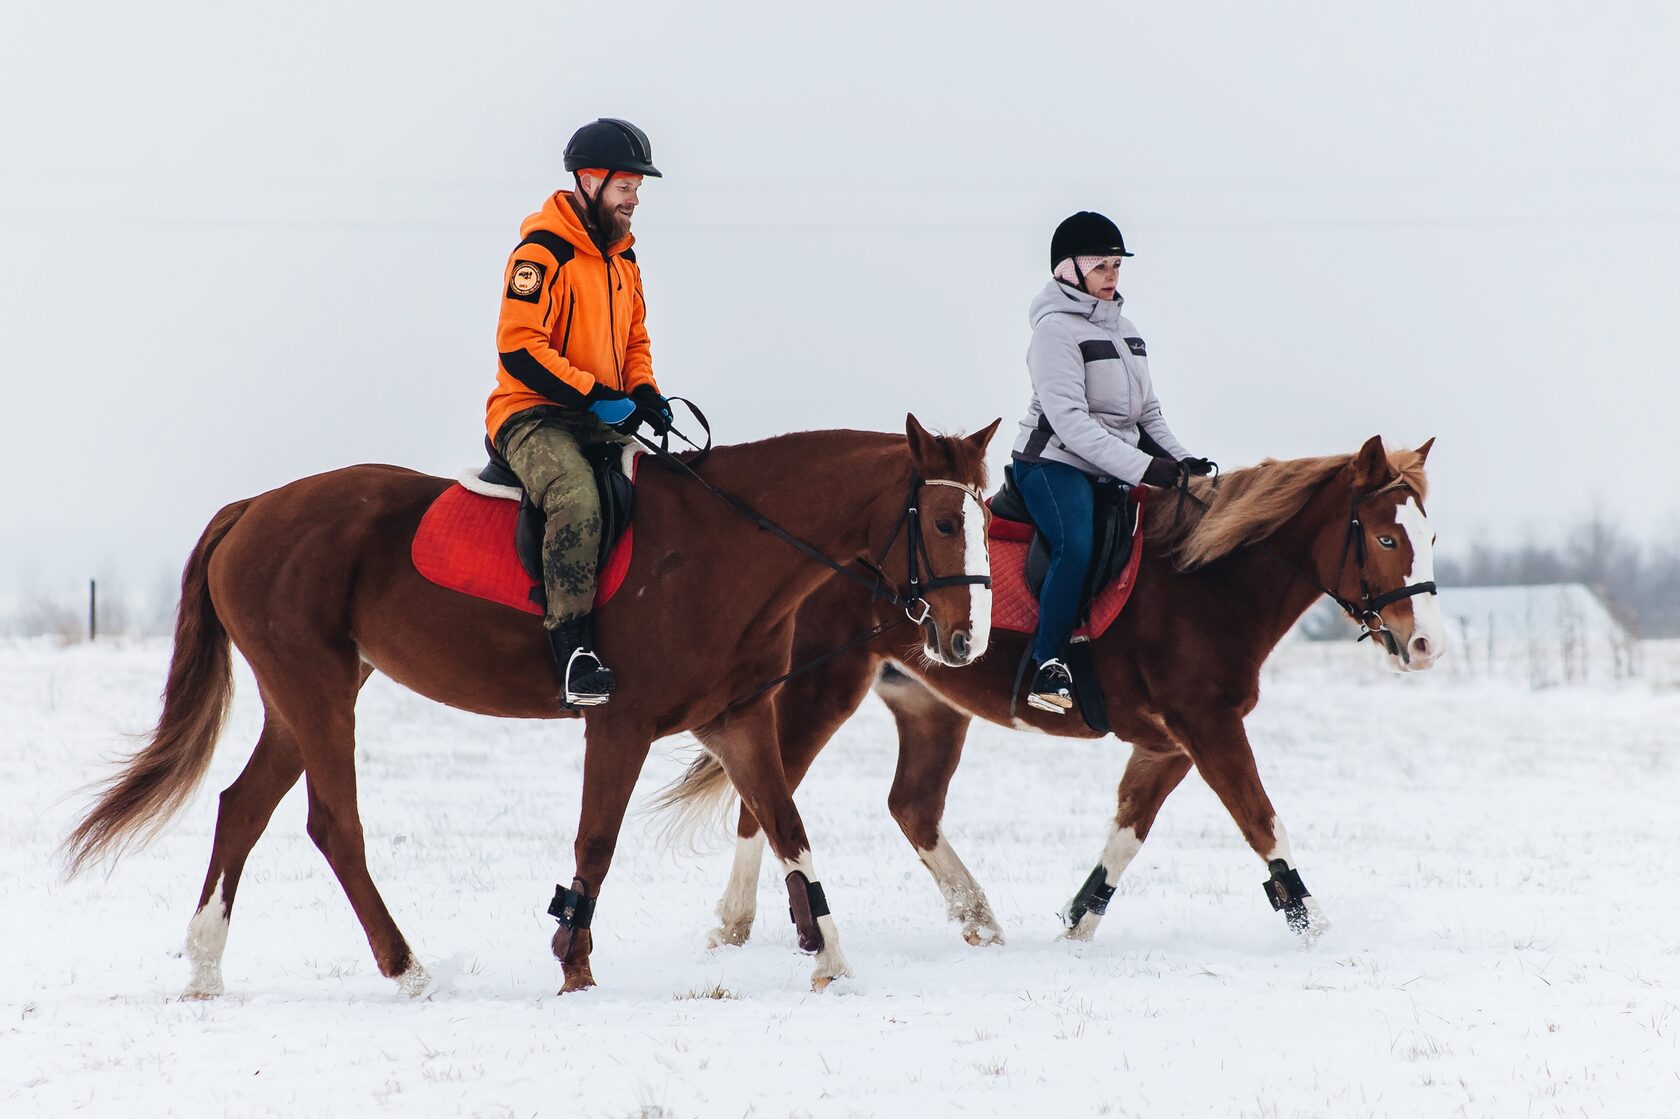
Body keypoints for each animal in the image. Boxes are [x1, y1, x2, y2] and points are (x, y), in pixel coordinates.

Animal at [68, 413, 994, 987]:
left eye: (988, 521)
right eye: (946, 524)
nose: (964, 642)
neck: (723, 546)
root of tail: (255, 507)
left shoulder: (738, 721)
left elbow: (786, 824)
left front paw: (829, 956)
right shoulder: (620, 725)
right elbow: (597, 842)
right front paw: (573, 959)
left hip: (304, 699)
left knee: (242, 808)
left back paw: (205, 965)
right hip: (318, 691)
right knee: (333, 825)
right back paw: (405, 968)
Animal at [665, 436, 1444, 947]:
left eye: (1427, 537)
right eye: (1384, 537)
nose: (1427, 645)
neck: (1205, 579)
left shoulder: (1169, 744)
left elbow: (1128, 833)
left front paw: (1076, 926)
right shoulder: (1207, 725)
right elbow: (1262, 822)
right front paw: (1315, 928)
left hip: (928, 705)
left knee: (911, 806)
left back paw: (978, 918)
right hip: (821, 688)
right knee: (764, 799)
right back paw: (733, 922)